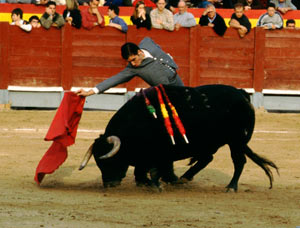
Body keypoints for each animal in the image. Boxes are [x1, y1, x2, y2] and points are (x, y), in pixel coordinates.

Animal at [79, 83, 278, 191]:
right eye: (98, 162)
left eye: (110, 160)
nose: (108, 184)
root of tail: (241, 94)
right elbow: (142, 170)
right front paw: (148, 182)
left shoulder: (161, 153)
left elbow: (153, 169)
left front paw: (155, 183)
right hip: (212, 142)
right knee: (207, 158)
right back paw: (184, 178)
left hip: (235, 142)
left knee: (239, 161)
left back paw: (231, 187)